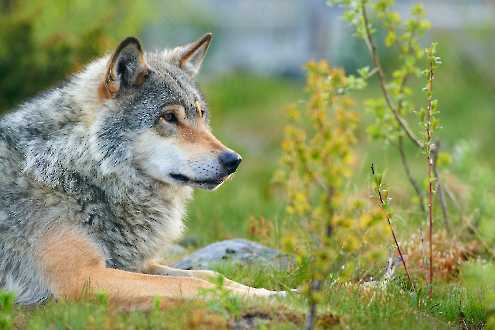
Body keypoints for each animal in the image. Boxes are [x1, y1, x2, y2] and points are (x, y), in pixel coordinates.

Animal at [0, 33, 282, 306]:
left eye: (201, 114)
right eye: (169, 117)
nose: (233, 160)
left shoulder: (135, 263)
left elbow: (207, 274)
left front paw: (277, 293)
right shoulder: (82, 277)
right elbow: (191, 283)